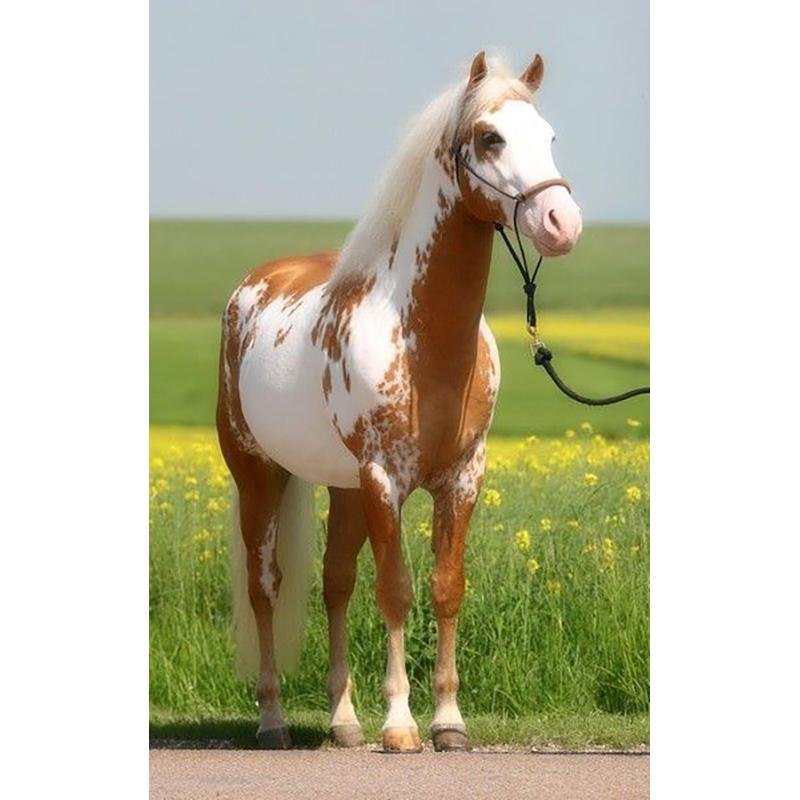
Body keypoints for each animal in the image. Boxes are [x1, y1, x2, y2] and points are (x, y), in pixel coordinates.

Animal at [216, 51, 582, 753]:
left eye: (550, 136)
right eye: (490, 137)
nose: (562, 224)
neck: (423, 341)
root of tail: (253, 285)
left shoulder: (462, 478)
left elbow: (444, 589)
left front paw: (449, 722)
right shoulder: (384, 479)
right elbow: (395, 591)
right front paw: (401, 724)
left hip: (343, 488)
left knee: (334, 582)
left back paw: (343, 722)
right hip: (260, 475)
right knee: (265, 586)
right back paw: (273, 719)